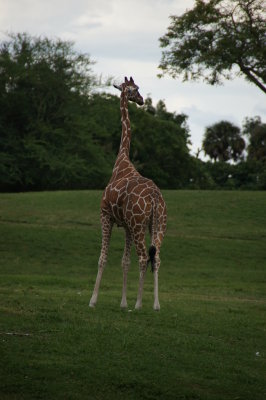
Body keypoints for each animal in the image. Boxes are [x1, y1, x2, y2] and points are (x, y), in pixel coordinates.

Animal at [90, 77, 167, 310]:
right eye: (134, 89)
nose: (141, 100)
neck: (121, 161)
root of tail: (155, 198)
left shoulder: (105, 215)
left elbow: (103, 258)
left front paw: (93, 300)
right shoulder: (126, 225)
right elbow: (125, 261)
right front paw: (123, 302)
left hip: (139, 224)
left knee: (144, 257)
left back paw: (139, 304)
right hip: (157, 224)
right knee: (156, 257)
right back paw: (156, 305)